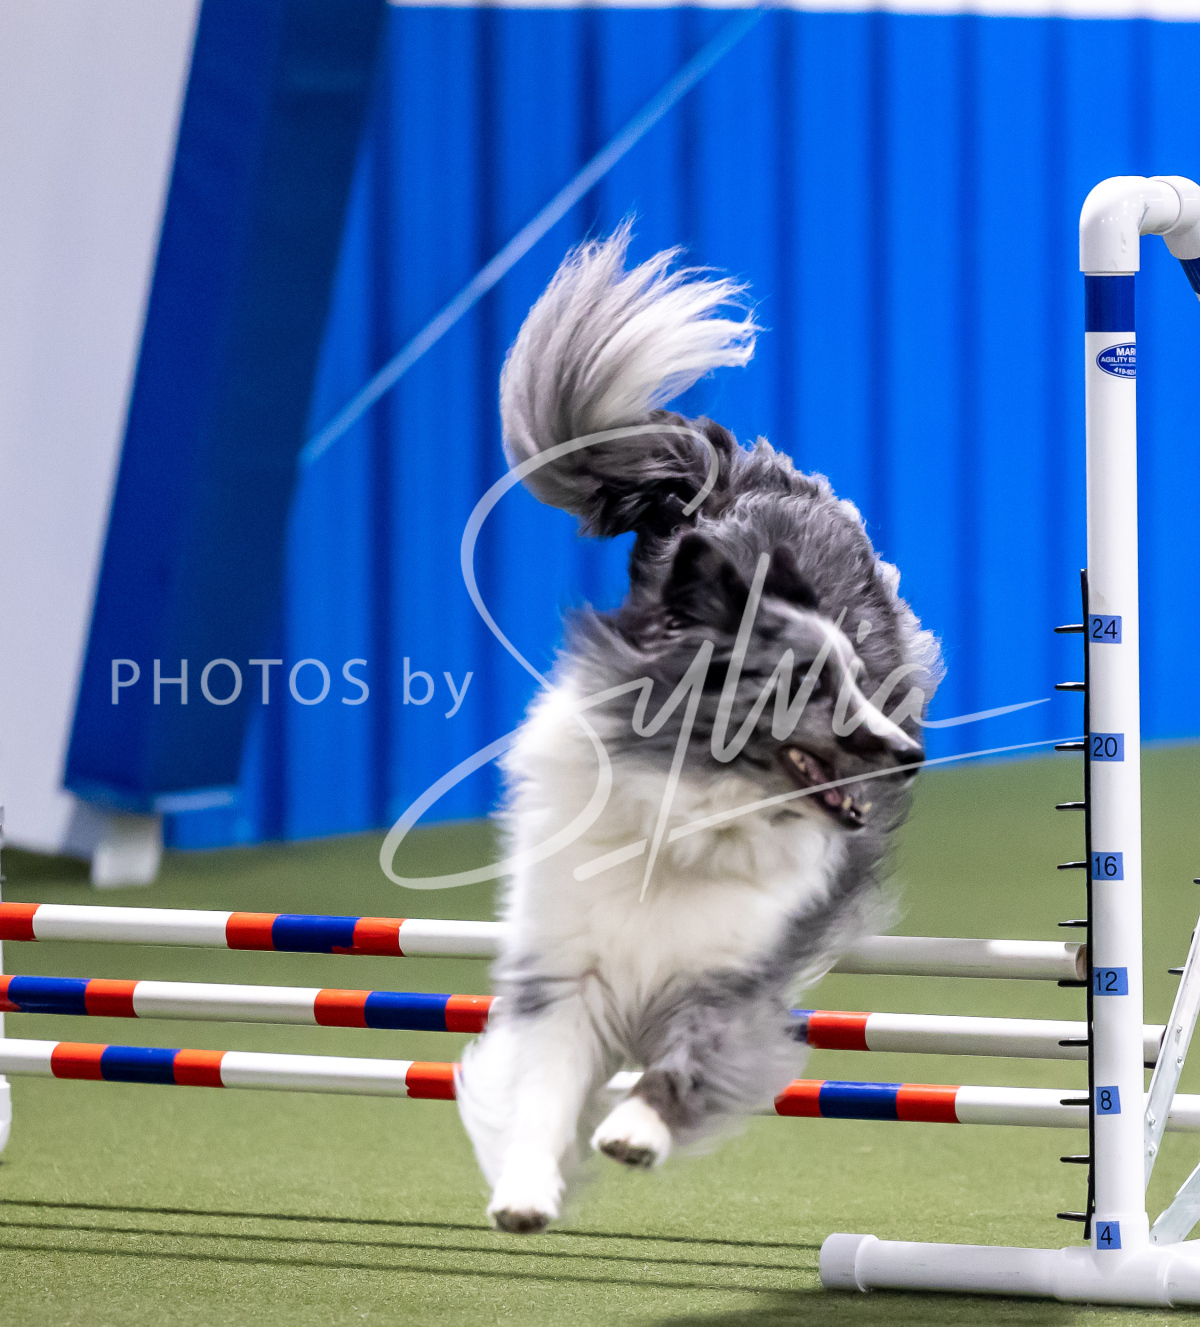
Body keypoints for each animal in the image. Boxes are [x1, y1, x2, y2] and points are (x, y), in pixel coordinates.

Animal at [456, 225, 943, 1233]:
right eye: (811, 687)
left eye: (857, 680)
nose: (911, 758)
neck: (693, 803)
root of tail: (743, 479)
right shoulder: (569, 968)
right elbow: (542, 1085)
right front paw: (524, 1188)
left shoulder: (738, 974)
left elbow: (690, 1054)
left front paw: (636, 1129)